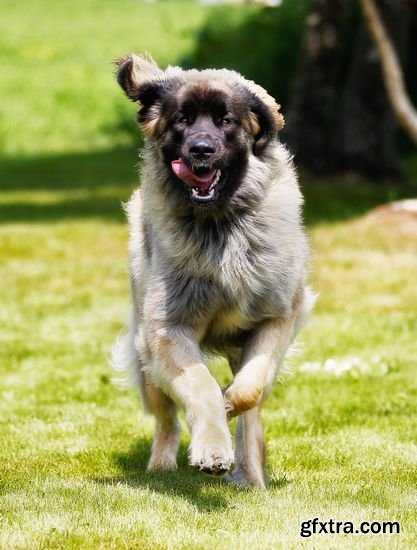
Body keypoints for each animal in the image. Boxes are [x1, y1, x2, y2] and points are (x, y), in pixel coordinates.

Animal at [112, 54, 314, 490]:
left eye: (226, 120)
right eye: (182, 119)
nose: (201, 150)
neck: (220, 223)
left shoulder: (278, 317)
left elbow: (251, 390)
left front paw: (229, 405)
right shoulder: (167, 331)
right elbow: (200, 384)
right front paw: (211, 449)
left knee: (253, 412)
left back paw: (251, 476)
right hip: (145, 354)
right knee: (166, 419)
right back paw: (161, 467)